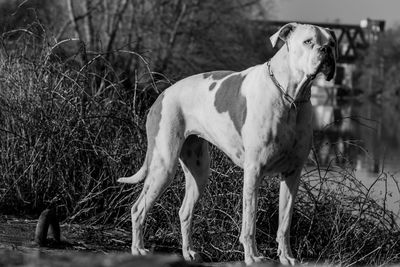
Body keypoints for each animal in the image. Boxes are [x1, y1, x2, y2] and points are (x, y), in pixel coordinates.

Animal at [118, 23, 338, 266]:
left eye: (332, 43)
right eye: (308, 41)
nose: (326, 50)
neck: (291, 97)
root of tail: (162, 94)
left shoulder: (292, 174)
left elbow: (285, 223)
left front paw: (286, 256)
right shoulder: (254, 172)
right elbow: (249, 221)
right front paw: (253, 256)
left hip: (199, 172)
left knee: (185, 212)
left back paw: (189, 252)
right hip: (163, 166)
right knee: (138, 209)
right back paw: (139, 250)